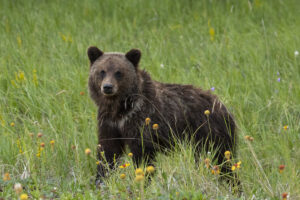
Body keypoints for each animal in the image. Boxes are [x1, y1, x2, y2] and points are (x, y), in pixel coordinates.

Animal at [86, 46, 237, 183]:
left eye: (119, 72)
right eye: (102, 71)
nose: (107, 87)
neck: (120, 108)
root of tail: (223, 106)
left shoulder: (141, 121)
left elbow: (142, 153)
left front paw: (144, 179)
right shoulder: (109, 122)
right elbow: (108, 151)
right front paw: (101, 179)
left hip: (210, 133)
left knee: (223, 162)